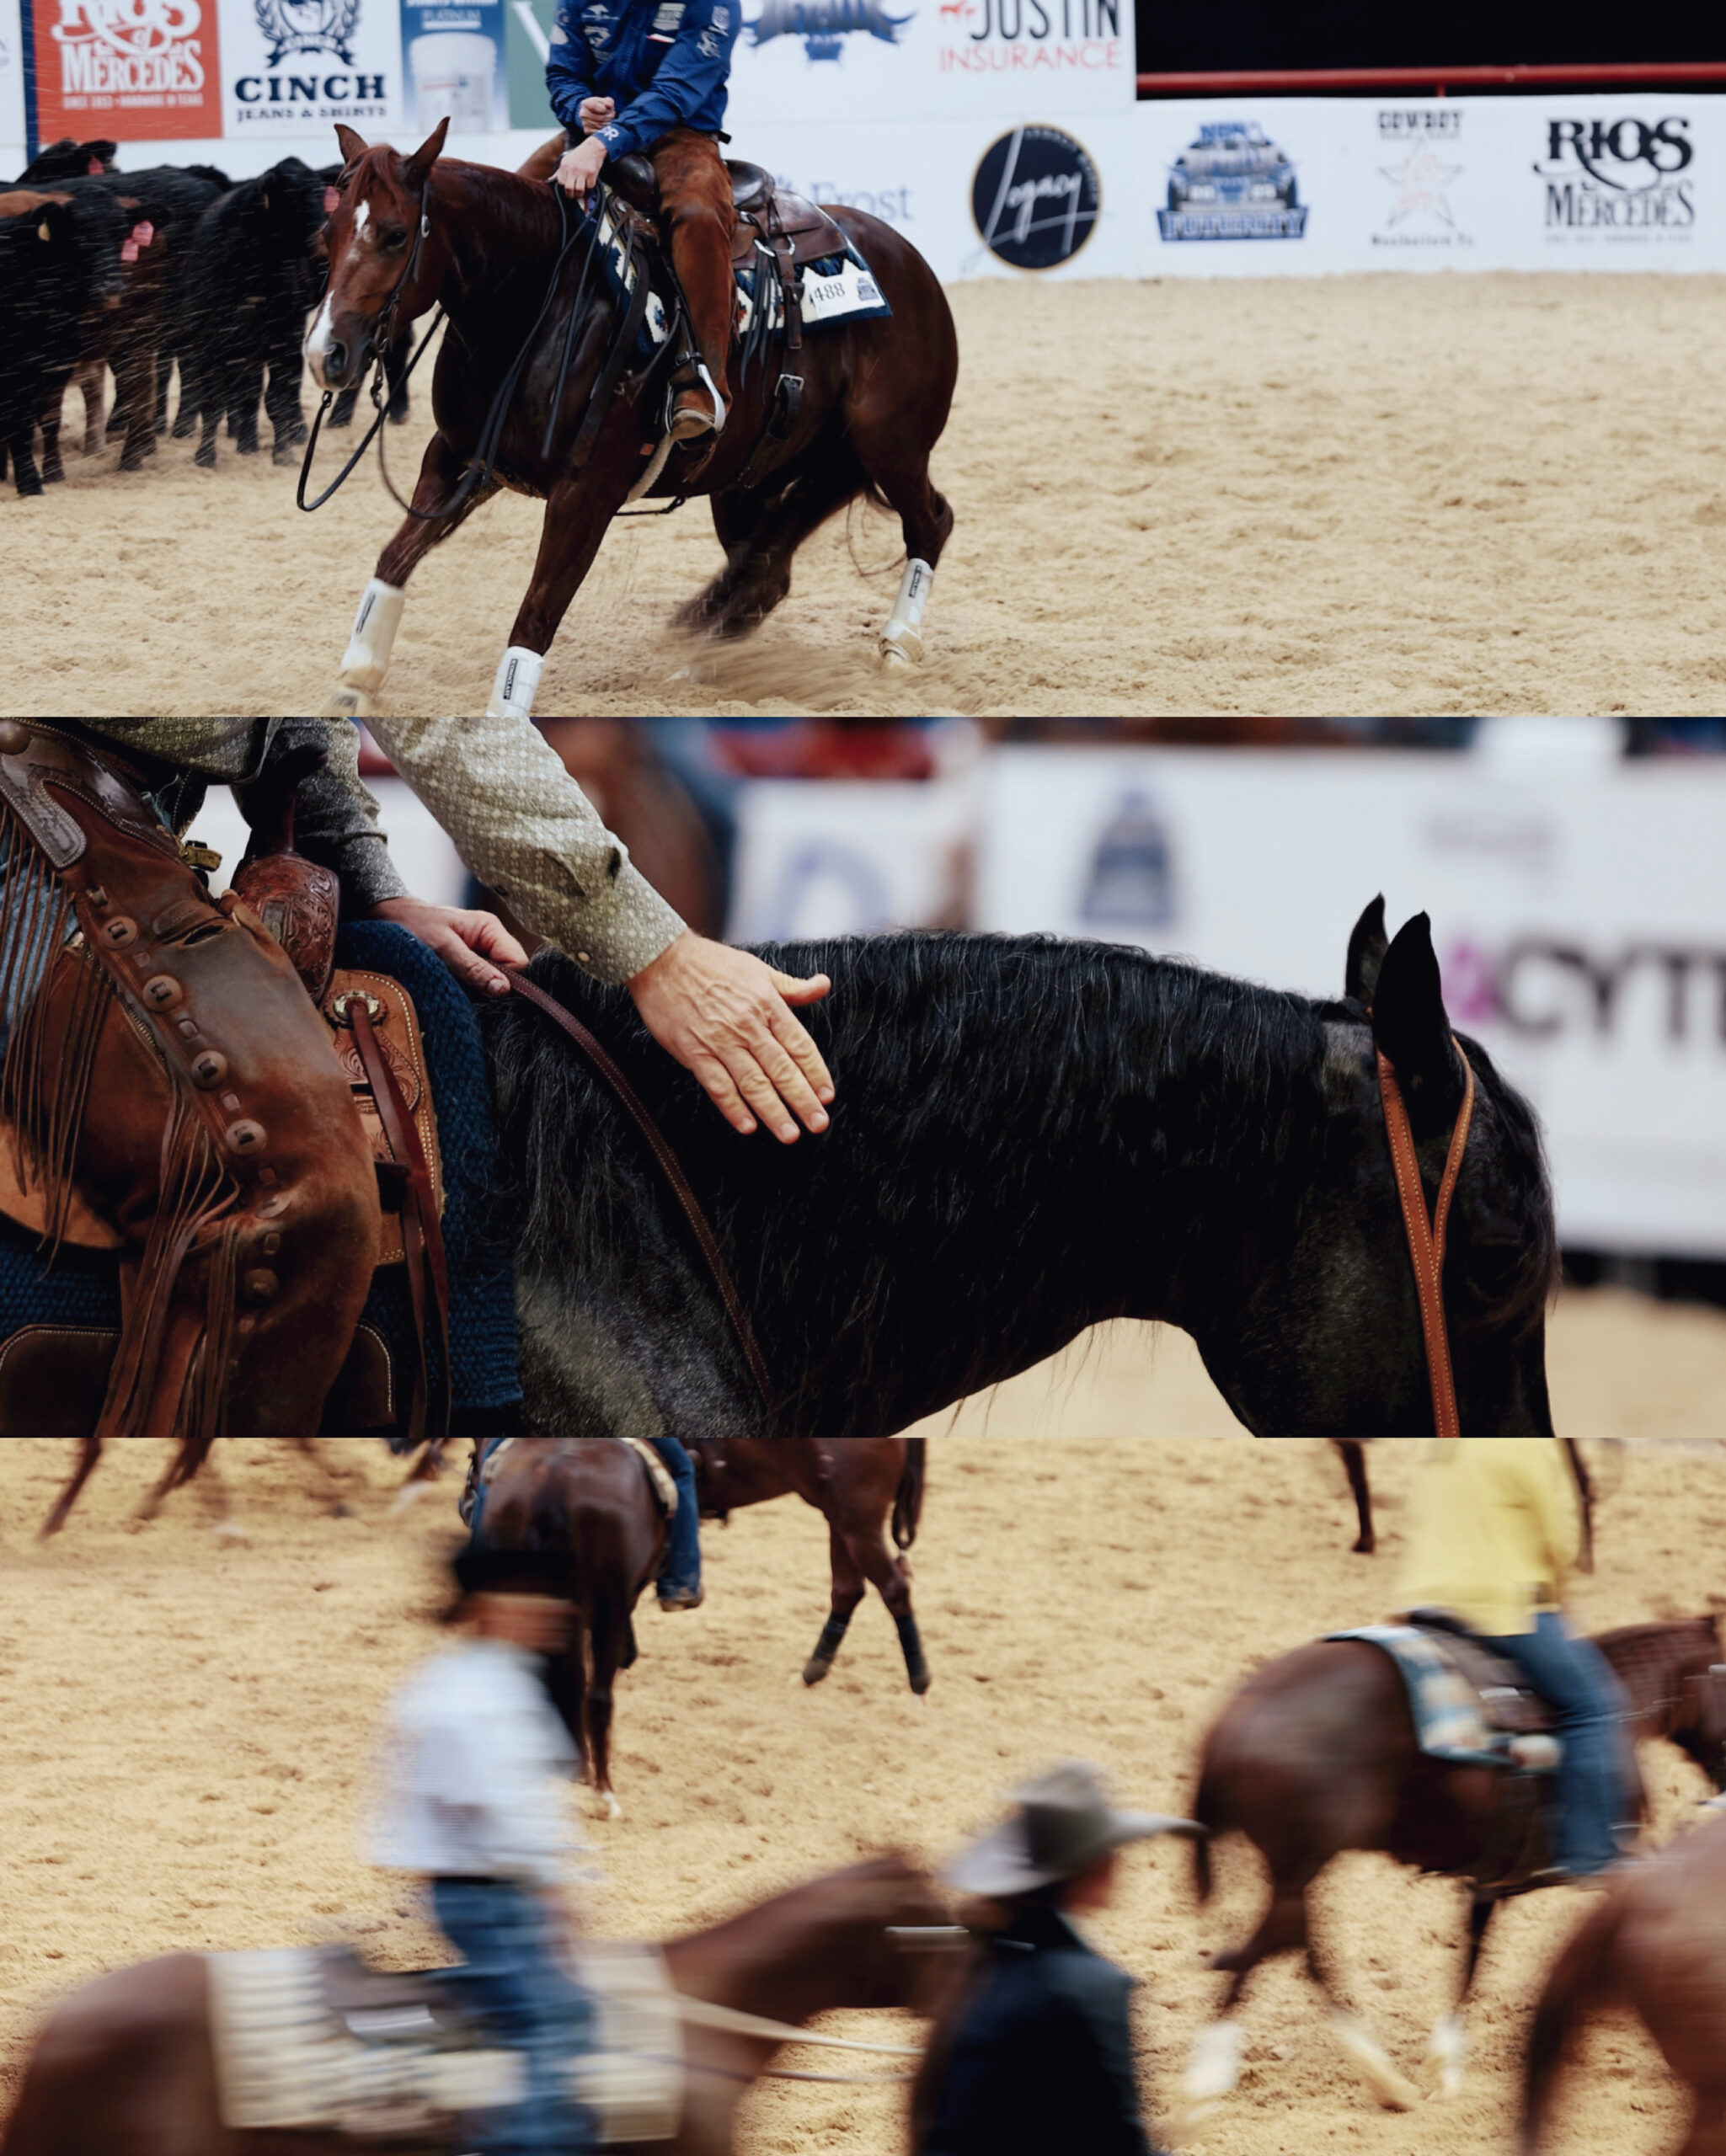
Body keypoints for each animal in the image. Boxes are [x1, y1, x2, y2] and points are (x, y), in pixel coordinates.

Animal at [302, 123, 957, 719]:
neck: (537, 302)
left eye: (395, 235)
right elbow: (394, 559)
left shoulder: (585, 494)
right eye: (325, 235)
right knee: (763, 573)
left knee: (930, 522)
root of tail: (907, 260)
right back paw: (699, 663)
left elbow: (536, 614)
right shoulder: (458, 458)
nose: (325, 353)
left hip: (890, 446)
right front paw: (355, 682)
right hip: (752, 478)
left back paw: (897, 645)